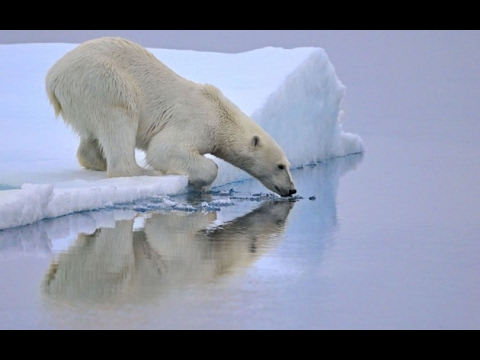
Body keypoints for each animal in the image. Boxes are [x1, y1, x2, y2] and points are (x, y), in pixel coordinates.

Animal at [47, 36, 298, 197]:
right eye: (280, 166)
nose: (292, 189)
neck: (220, 115)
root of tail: (53, 77)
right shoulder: (195, 122)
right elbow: (164, 149)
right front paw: (198, 180)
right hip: (102, 80)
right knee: (120, 115)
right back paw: (145, 172)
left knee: (91, 135)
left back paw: (97, 161)